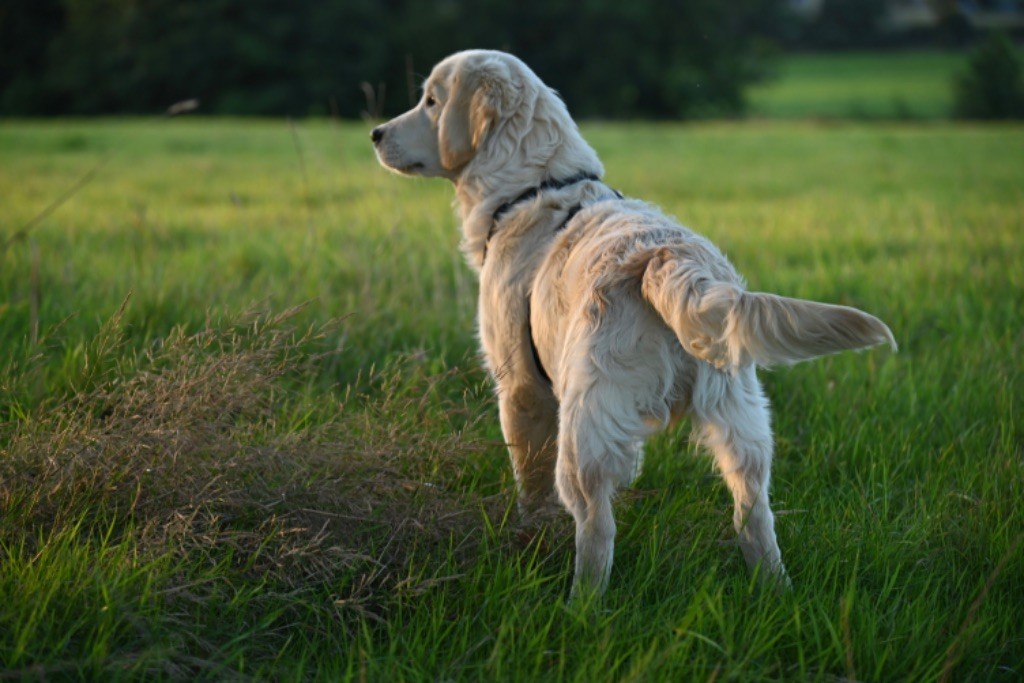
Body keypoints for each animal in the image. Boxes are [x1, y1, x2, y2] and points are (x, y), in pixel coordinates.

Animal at [370, 49, 897, 598]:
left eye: (430, 101)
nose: (376, 133)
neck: (532, 186)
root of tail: (668, 257)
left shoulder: (520, 388)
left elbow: (528, 485)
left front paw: (525, 538)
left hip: (585, 427)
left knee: (596, 528)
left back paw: (580, 606)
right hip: (742, 421)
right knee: (754, 516)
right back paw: (776, 592)